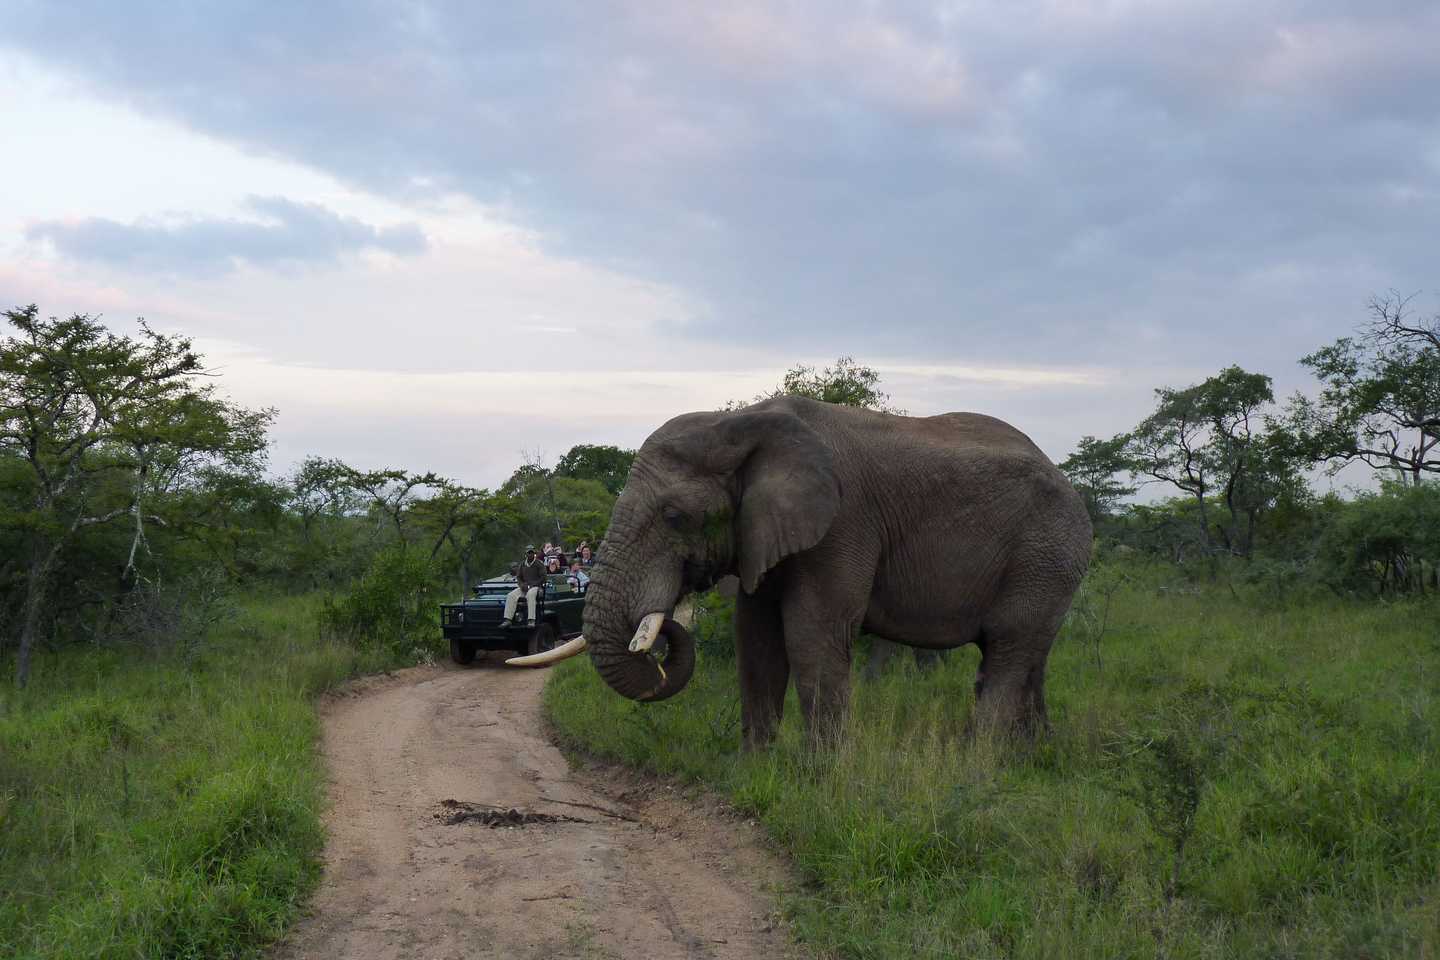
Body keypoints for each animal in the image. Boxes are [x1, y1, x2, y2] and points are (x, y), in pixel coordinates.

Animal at [511, 396, 1092, 749]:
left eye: (675, 517)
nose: (666, 620)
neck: (740, 421)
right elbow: (756, 635)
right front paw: (757, 767)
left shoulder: (843, 522)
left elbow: (813, 631)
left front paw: (820, 779)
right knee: (1025, 656)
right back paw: (1030, 758)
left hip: (1047, 552)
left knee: (1009, 651)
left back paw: (979, 767)